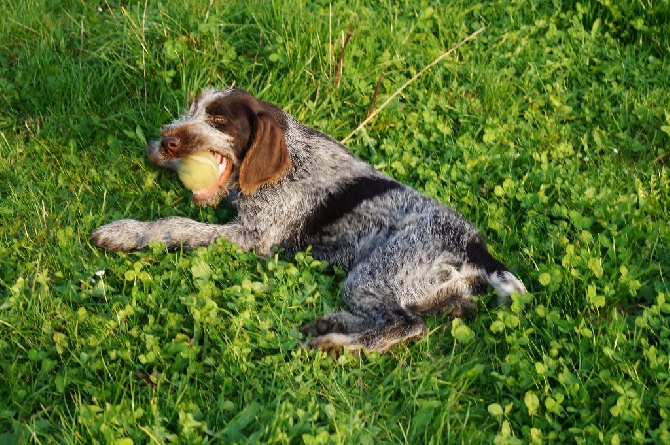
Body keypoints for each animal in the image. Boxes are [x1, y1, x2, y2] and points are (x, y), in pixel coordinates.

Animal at [90, 88, 532, 356]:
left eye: (219, 121)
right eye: (190, 111)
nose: (168, 140)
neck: (288, 160)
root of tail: (477, 249)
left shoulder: (252, 237)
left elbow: (177, 224)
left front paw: (127, 231)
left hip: (375, 272)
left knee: (407, 325)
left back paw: (337, 343)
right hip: (426, 289)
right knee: (420, 313)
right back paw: (334, 323)